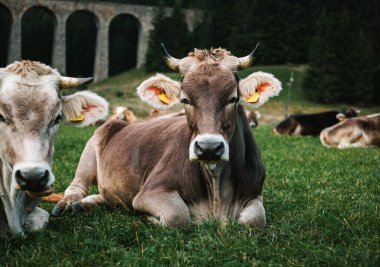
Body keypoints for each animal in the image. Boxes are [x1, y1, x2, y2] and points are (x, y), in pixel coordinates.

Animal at [52, 45, 280, 229]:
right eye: (185, 100)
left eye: (233, 98)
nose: (208, 148)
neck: (216, 195)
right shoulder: (150, 191)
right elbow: (178, 215)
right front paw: (149, 218)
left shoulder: (254, 193)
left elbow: (254, 220)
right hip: (89, 150)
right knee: (77, 186)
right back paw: (68, 204)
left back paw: (85, 204)